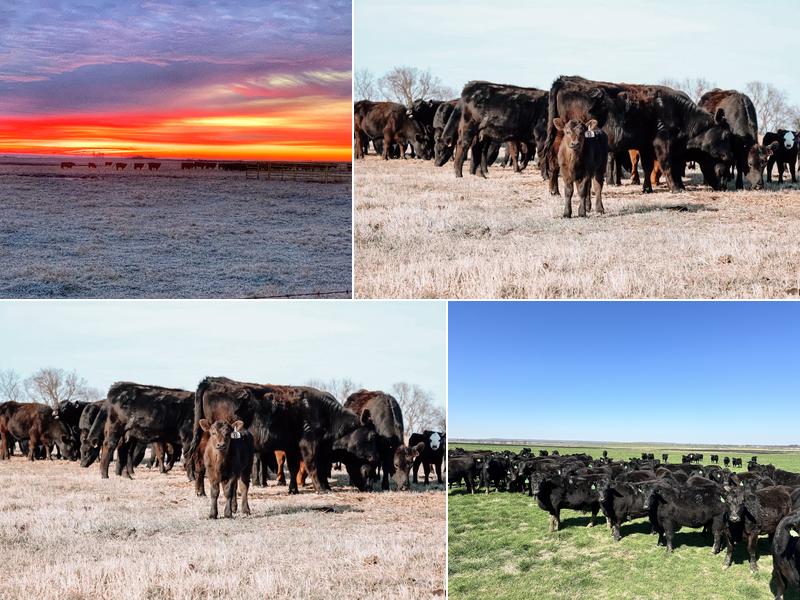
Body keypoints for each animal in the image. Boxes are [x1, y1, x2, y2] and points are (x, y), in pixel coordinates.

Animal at [189, 377, 379, 496]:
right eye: (372, 436)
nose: (376, 458)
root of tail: (212, 380)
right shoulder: (309, 443)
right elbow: (313, 466)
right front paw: (321, 488)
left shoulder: (292, 446)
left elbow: (294, 468)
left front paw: (293, 489)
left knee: (199, 462)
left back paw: (200, 491)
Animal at [543, 76, 733, 195]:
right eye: (725, 135)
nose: (729, 157)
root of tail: (565, 79)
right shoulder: (663, 143)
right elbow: (668, 164)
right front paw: (676, 187)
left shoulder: (646, 145)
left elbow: (648, 167)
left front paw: (647, 188)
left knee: (553, 161)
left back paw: (555, 190)